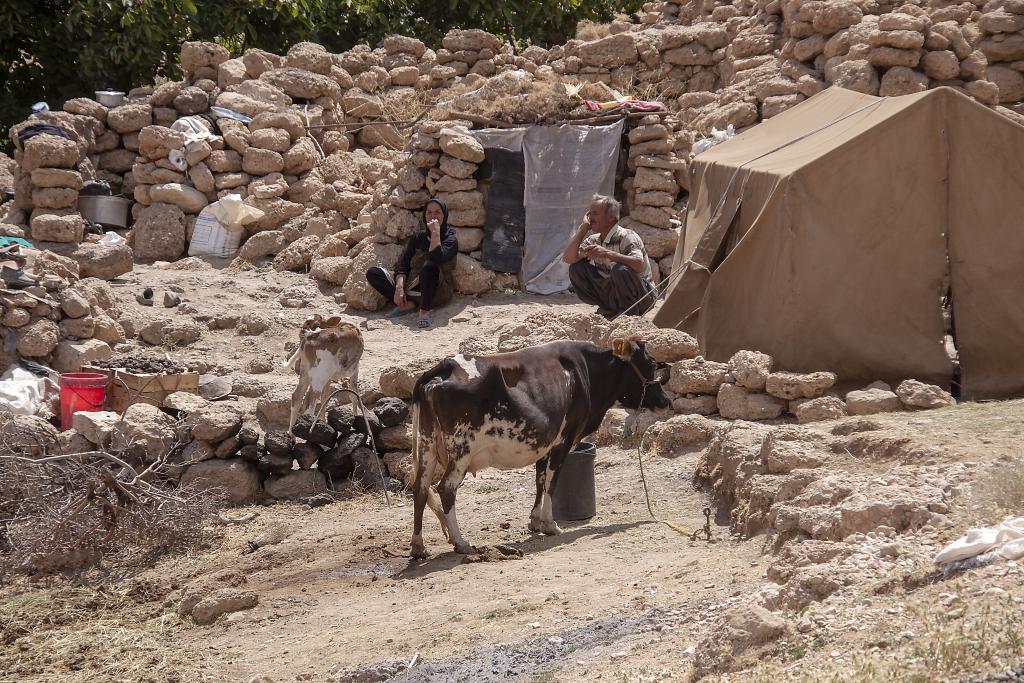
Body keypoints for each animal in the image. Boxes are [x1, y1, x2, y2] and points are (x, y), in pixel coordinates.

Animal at [407, 339, 671, 557]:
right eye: (650, 363)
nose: (666, 401)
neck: (586, 372)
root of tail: (446, 365)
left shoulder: (544, 442)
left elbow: (540, 480)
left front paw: (535, 521)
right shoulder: (563, 439)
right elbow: (552, 483)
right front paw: (550, 524)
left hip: (427, 445)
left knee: (420, 488)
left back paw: (418, 546)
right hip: (461, 449)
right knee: (446, 488)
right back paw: (460, 542)